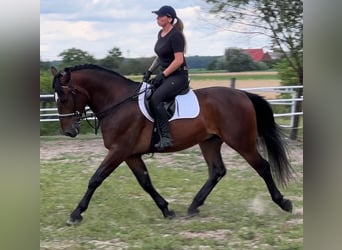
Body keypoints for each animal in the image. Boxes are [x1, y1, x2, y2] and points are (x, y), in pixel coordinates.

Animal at [50, 63, 294, 226]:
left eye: (64, 98)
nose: (69, 132)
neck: (117, 102)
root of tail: (241, 94)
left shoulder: (119, 150)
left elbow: (96, 179)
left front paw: (75, 214)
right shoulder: (130, 154)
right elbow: (145, 182)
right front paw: (167, 210)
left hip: (241, 142)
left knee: (262, 167)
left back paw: (283, 202)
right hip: (209, 142)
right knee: (217, 171)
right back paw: (194, 206)